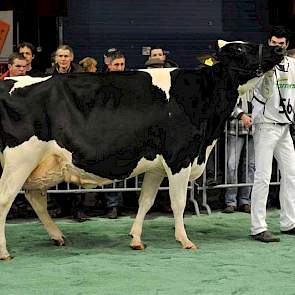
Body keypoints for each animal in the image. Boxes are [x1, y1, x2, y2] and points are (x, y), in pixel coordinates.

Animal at [0, 40, 284, 260]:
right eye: (240, 49)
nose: (279, 49)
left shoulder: (156, 166)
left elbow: (145, 201)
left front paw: (136, 239)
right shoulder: (179, 157)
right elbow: (179, 202)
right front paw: (185, 240)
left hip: (39, 165)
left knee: (36, 198)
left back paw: (58, 236)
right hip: (19, 160)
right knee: (5, 200)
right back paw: (4, 252)